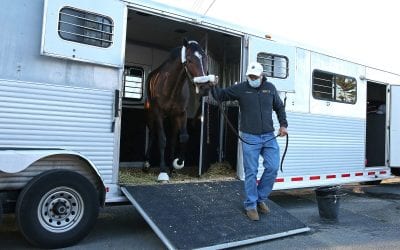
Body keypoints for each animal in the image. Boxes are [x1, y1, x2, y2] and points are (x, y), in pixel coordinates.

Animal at [144, 38, 216, 181]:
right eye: (189, 60)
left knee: (172, 138)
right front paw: (163, 172)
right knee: (153, 134)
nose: (205, 88)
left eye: (205, 59)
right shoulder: (158, 113)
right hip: (151, 115)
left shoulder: (181, 114)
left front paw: (177, 163)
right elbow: (162, 140)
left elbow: (183, 137)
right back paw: (147, 164)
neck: (170, 87)